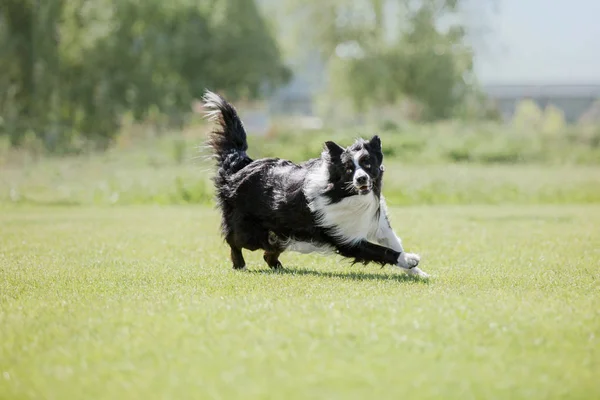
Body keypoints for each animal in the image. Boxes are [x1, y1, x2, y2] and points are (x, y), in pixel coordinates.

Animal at [204, 90, 428, 278]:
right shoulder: (346, 239)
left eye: (368, 164)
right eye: (348, 169)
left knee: (268, 253)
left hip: (280, 232)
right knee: (234, 241)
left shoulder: (379, 224)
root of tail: (241, 165)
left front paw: (417, 272)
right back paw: (239, 264)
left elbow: (393, 243)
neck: (345, 194)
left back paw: (281, 269)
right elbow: (383, 250)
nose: (361, 179)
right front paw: (409, 259)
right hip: (250, 230)